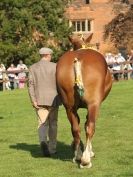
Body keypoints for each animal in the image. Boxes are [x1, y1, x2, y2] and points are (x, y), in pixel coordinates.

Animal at [56, 35, 112, 169]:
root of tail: (78, 60)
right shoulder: (94, 104)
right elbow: (89, 123)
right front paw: (90, 151)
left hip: (69, 107)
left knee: (75, 129)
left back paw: (77, 156)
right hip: (93, 104)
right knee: (90, 127)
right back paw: (86, 159)